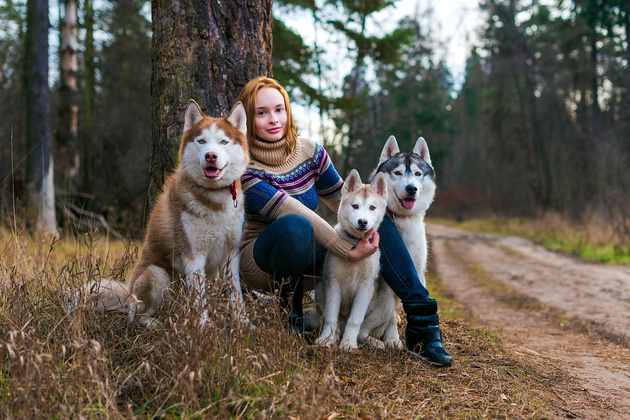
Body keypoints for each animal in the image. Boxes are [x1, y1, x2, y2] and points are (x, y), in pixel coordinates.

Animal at [73, 99, 251, 328]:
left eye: (223, 142)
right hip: (156, 274)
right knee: (137, 314)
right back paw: (155, 323)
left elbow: (236, 295)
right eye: (202, 141)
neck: (215, 200)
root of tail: (127, 292)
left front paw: (244, 324)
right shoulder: (194, 256)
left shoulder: (231, 254)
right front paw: (202, 328)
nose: (211, 155)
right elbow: (199, 299)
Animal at [316, 169, 404, 352]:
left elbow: (355, 320)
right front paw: (326, 339)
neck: (356, 243)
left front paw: (349, 343)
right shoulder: (333, 282)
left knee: (363, 332)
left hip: (385, 303)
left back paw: (375, 342)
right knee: (336, 323)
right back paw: (336, 334)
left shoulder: (365, 287)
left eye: (372, 207)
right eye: (355, 206)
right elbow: (330, 317)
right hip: (320, 289)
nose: (362, 222)